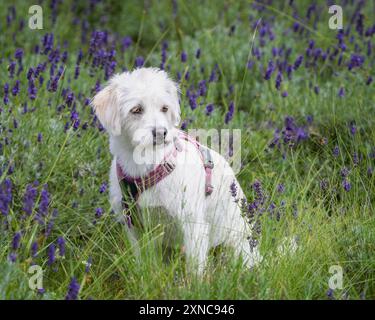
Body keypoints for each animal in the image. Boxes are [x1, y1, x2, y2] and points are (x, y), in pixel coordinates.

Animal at [92, 67, 262, 276]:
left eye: (164, 108)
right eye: (136, 109)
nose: (161, 133)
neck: (147, 165)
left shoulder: (193, 226)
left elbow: (195, 270)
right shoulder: (134, 226)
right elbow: (143, 263)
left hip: (235, 248)